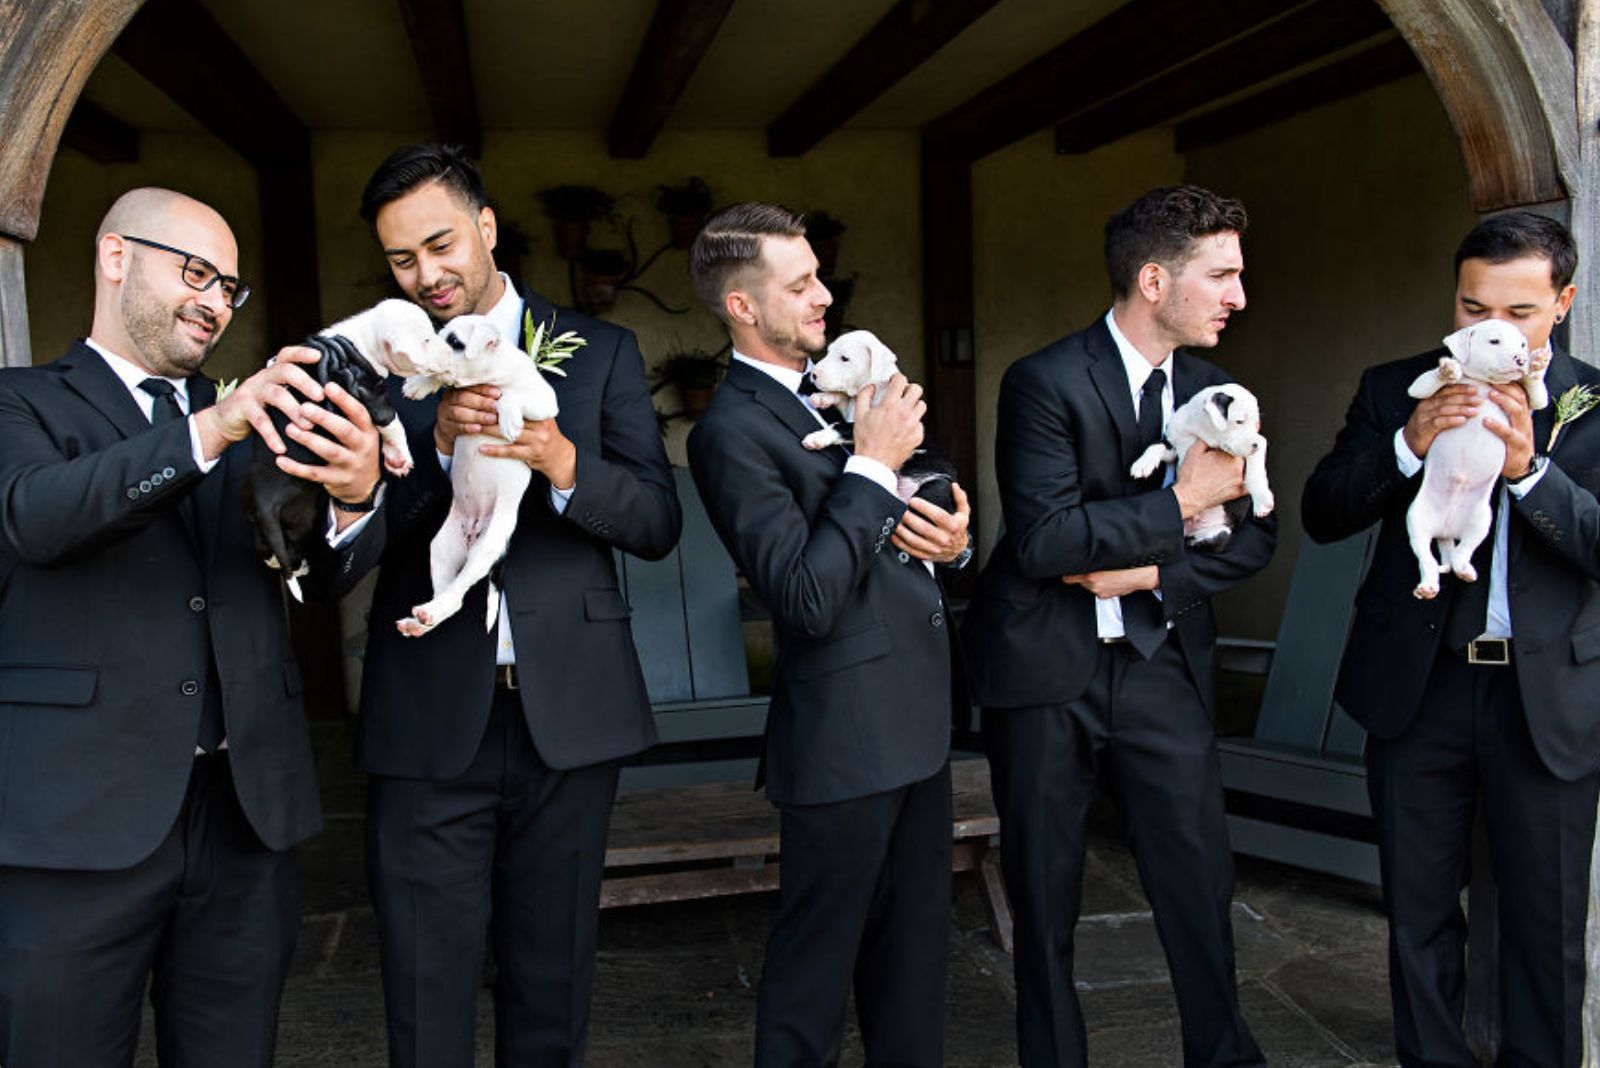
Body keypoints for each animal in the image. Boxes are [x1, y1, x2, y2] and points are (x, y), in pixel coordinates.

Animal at [395, 314, 563, 633]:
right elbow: (441, 378)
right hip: (441, 550)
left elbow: (511, 396)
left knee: (457, 594)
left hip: (486, 548)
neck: (490, 376)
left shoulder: (543, 400)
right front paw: (420, 384)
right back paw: (421, 619)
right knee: (449, 595)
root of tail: (473, 532)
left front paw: (509, 419)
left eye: (455, 342)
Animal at [1126, 383, 1273, 546]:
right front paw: (1142, 464)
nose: (1255, 445)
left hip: (1220, 533)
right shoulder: (1172, 445)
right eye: (1239, 421)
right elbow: (1156, 445)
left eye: (1255, 423)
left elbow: (1256, 470)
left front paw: (1262, 500)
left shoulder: (1260, 444)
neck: (1200, 431)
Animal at [1408, 316, 1542, 601]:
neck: (1484, 382)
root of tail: (1446, 531)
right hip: (1417, 520)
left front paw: (1537, 366)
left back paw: (1464, 568)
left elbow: (1537, 392)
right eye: (1494, 341)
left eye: (1523, 344)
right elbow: (1425, 385)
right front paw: (1449, 369)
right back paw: (1428, 586)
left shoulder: (1533, 401)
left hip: (1480, 521)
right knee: (1426, 559)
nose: (1521, 359)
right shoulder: (1419, 389)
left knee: (1463, 551)